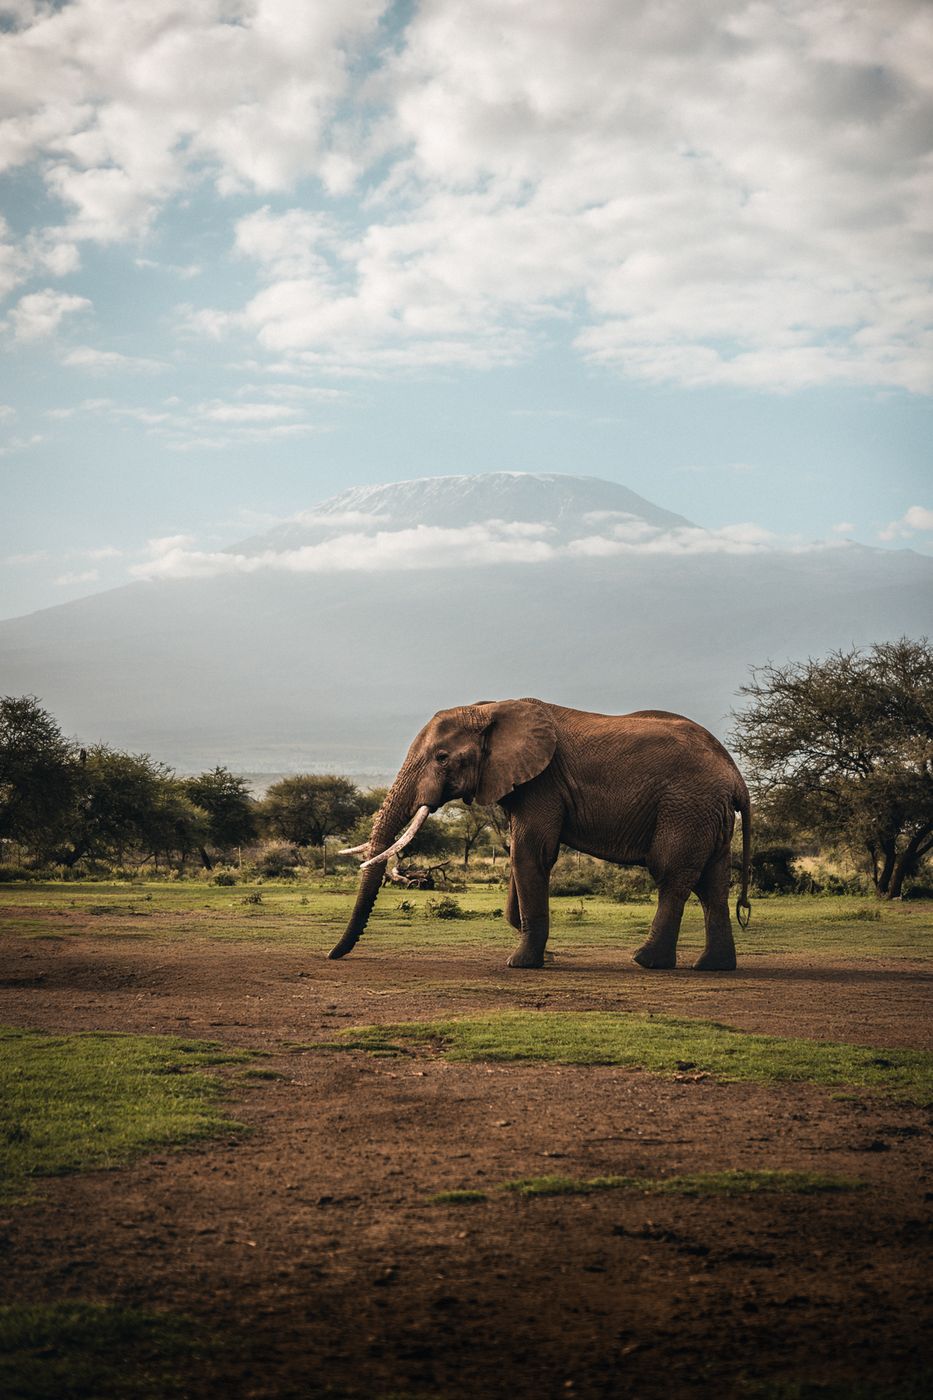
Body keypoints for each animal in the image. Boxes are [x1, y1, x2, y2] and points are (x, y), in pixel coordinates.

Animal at [329, 698, 751, 971]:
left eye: (442, 758)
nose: (334, 956)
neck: (490, 708)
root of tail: (735, 776)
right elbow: (521, 853)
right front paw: (542, 952)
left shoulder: (543, 783)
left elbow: (530, 854)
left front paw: (521, 963)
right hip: (707, 814)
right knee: (713, 885)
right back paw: (712, 967)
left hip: (685, 808)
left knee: (672, 876)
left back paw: (646, 961)